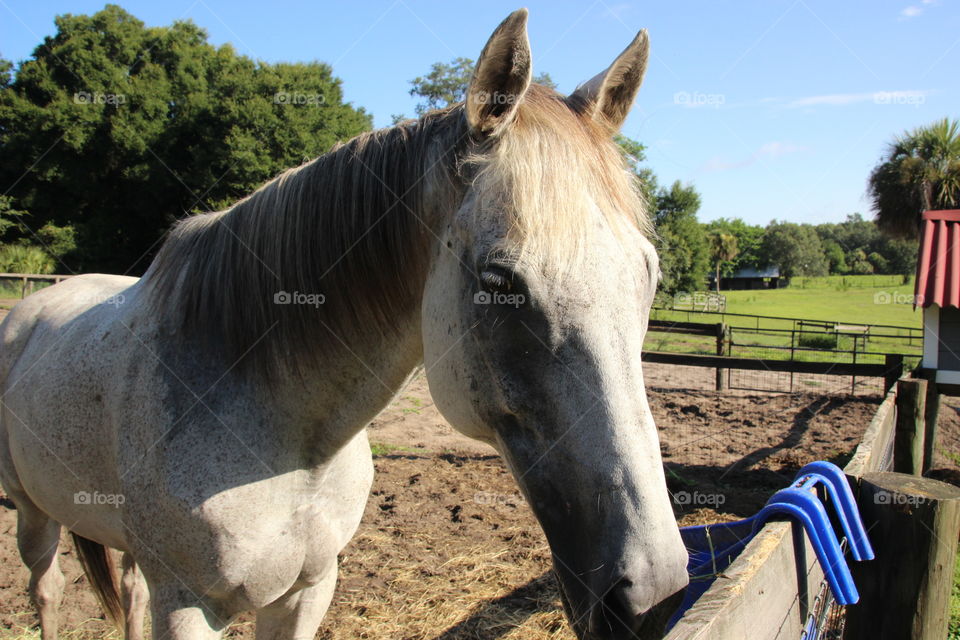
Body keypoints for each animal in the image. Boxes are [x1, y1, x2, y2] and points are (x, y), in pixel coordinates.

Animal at [0, 9, 688, 640]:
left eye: (649, 275)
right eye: (499, 282)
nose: (652, 595)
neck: (291, 443)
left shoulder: (309, 590)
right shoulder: (187, 604)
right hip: (33, 514)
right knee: (47, 589)